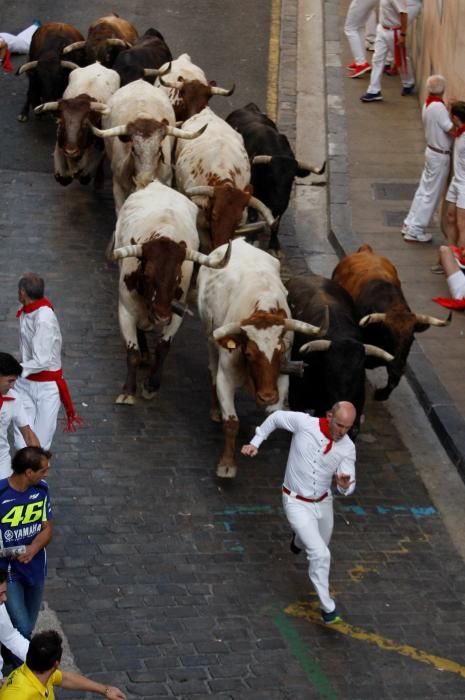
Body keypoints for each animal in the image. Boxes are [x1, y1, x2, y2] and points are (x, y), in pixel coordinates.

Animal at [196, 238, 326, 478]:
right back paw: (215, 409)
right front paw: (227, 464)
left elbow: (273, 413)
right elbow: (231, 423)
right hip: (210, 339)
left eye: (280, 350)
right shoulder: (226, 378)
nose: (267, 396)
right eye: (248, 353)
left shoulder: (282, 379)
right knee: (212, 368)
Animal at [332, 245, 452, 400]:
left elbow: (393, 382)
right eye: (388, 336)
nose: (398, 368)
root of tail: (366, 250)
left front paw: (381, 394)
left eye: (411, 339)